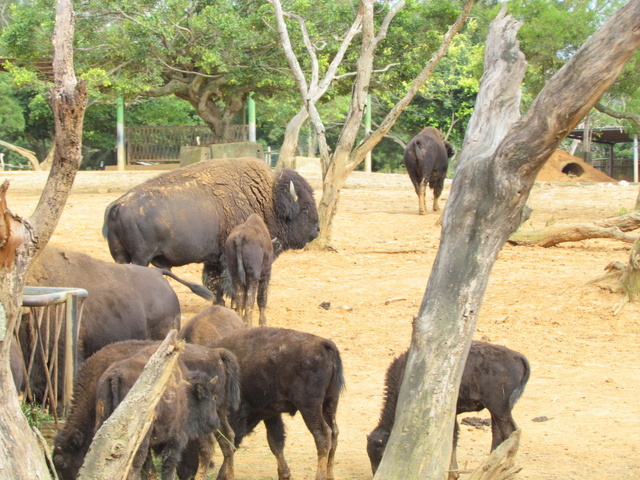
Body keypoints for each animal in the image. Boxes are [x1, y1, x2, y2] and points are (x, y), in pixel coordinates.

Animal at [102, 158, 320, 304]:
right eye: (305, 208)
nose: (316, 231)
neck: (267, 199)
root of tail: (118, 205)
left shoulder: (213, 259)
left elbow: (214, 284)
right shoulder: (227, 258)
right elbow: (227, 284)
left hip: (120, 256)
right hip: (141, 257)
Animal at [364, 340, 528, 478]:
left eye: (381, 455)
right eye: (369, 455)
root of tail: (517, 356)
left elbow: (451, 440)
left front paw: (452, 474)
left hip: (499, 407)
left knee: (510, 431)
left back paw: (507, 469)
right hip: (496, 410)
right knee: (499, 434)